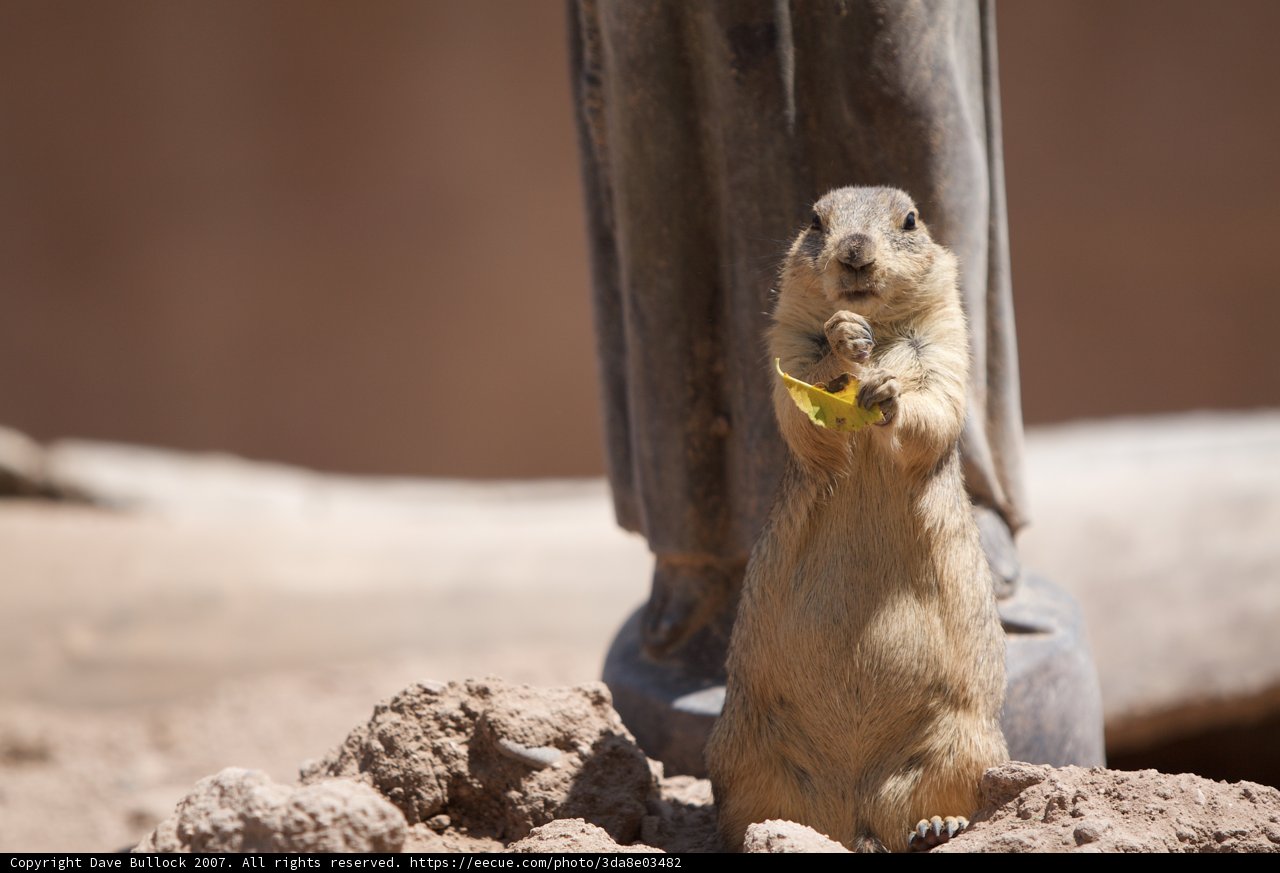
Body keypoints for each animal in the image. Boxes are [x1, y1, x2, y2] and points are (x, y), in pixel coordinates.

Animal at [705, 186, 1008, 852]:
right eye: (815, 221)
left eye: (911, 220)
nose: (854, 253)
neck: (883, 330)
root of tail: (855, 815)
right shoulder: (787, 341)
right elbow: (802, 403)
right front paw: (844, 338)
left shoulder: (946, 340)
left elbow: (935, 407)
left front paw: (887, 394)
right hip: (742, 751)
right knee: (749, 815)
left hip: (967, 742)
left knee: (949, 799)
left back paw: (936, 826)